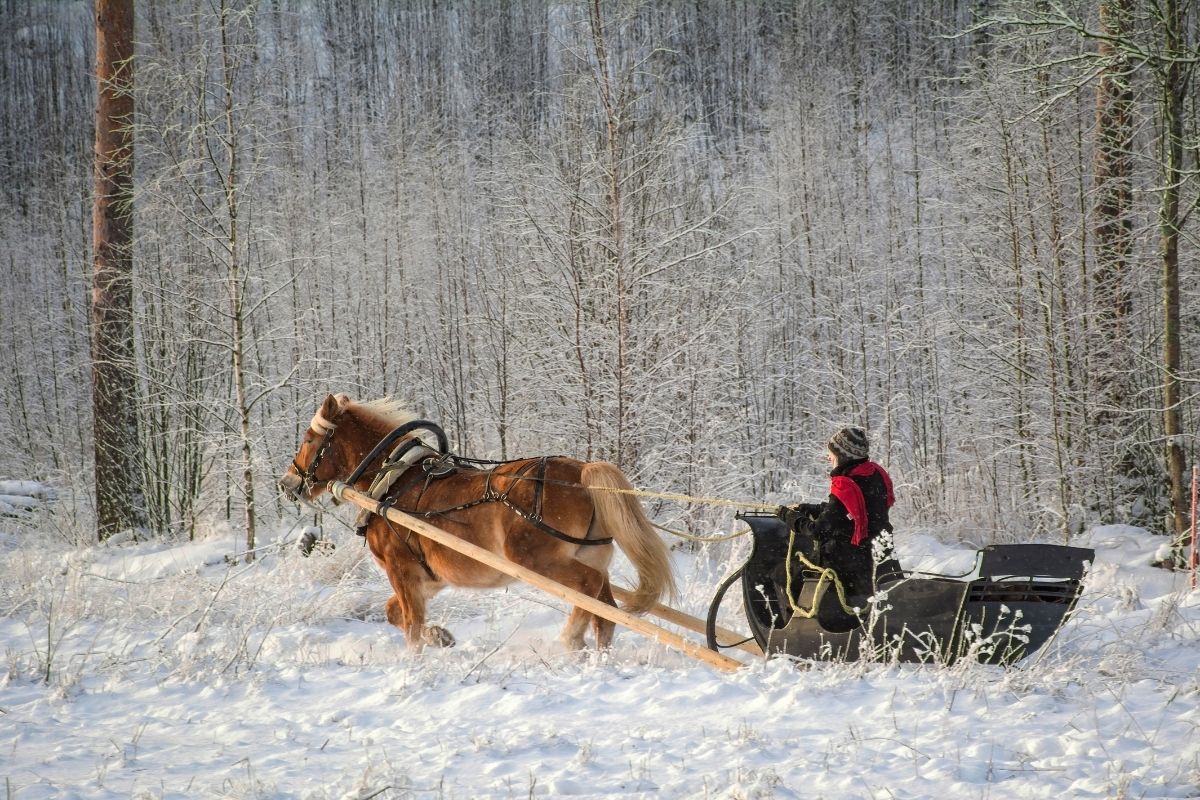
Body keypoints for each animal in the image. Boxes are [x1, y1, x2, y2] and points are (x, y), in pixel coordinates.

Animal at [278, 393, 676, 652]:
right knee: (604, 609)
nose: (287, 482)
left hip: (539, 562)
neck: (391, 482)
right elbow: (394, 614)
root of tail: (582, 472)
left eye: (309, 438)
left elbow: (410, 626)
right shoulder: (430, 578)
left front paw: (415, 663)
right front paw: (441, 637)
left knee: (590, 592)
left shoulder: (401, 570)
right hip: (591, 558)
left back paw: (570, 641)